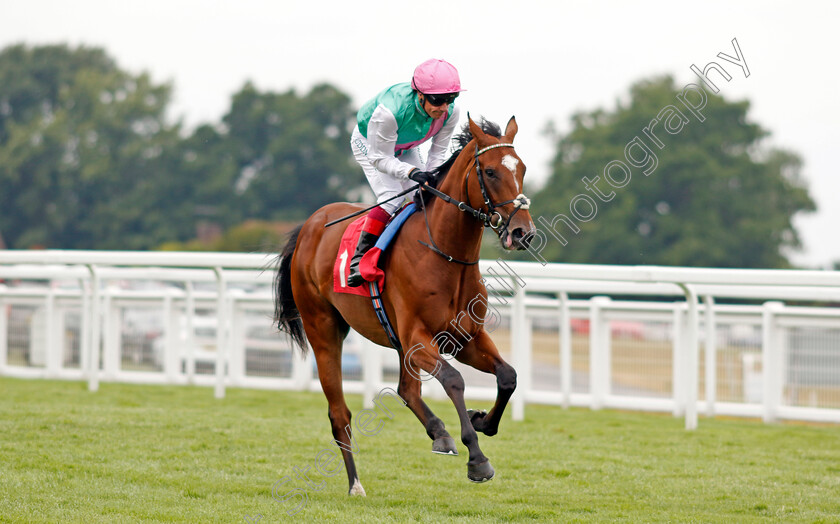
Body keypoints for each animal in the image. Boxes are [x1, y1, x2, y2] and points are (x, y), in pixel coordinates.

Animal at [276, 114, 540, 496]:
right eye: (490, 172)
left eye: (521, 168)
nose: (522, 232)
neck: (445, 254)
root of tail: (310, 226)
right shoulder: (418, 336)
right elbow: (454, 380)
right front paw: (477, 458)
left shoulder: (465, 337)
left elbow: (508, 376)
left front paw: (481, 421)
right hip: (323, 329)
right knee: (340, 413)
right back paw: (356, 484)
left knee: (406, 389)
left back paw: (438, 432)